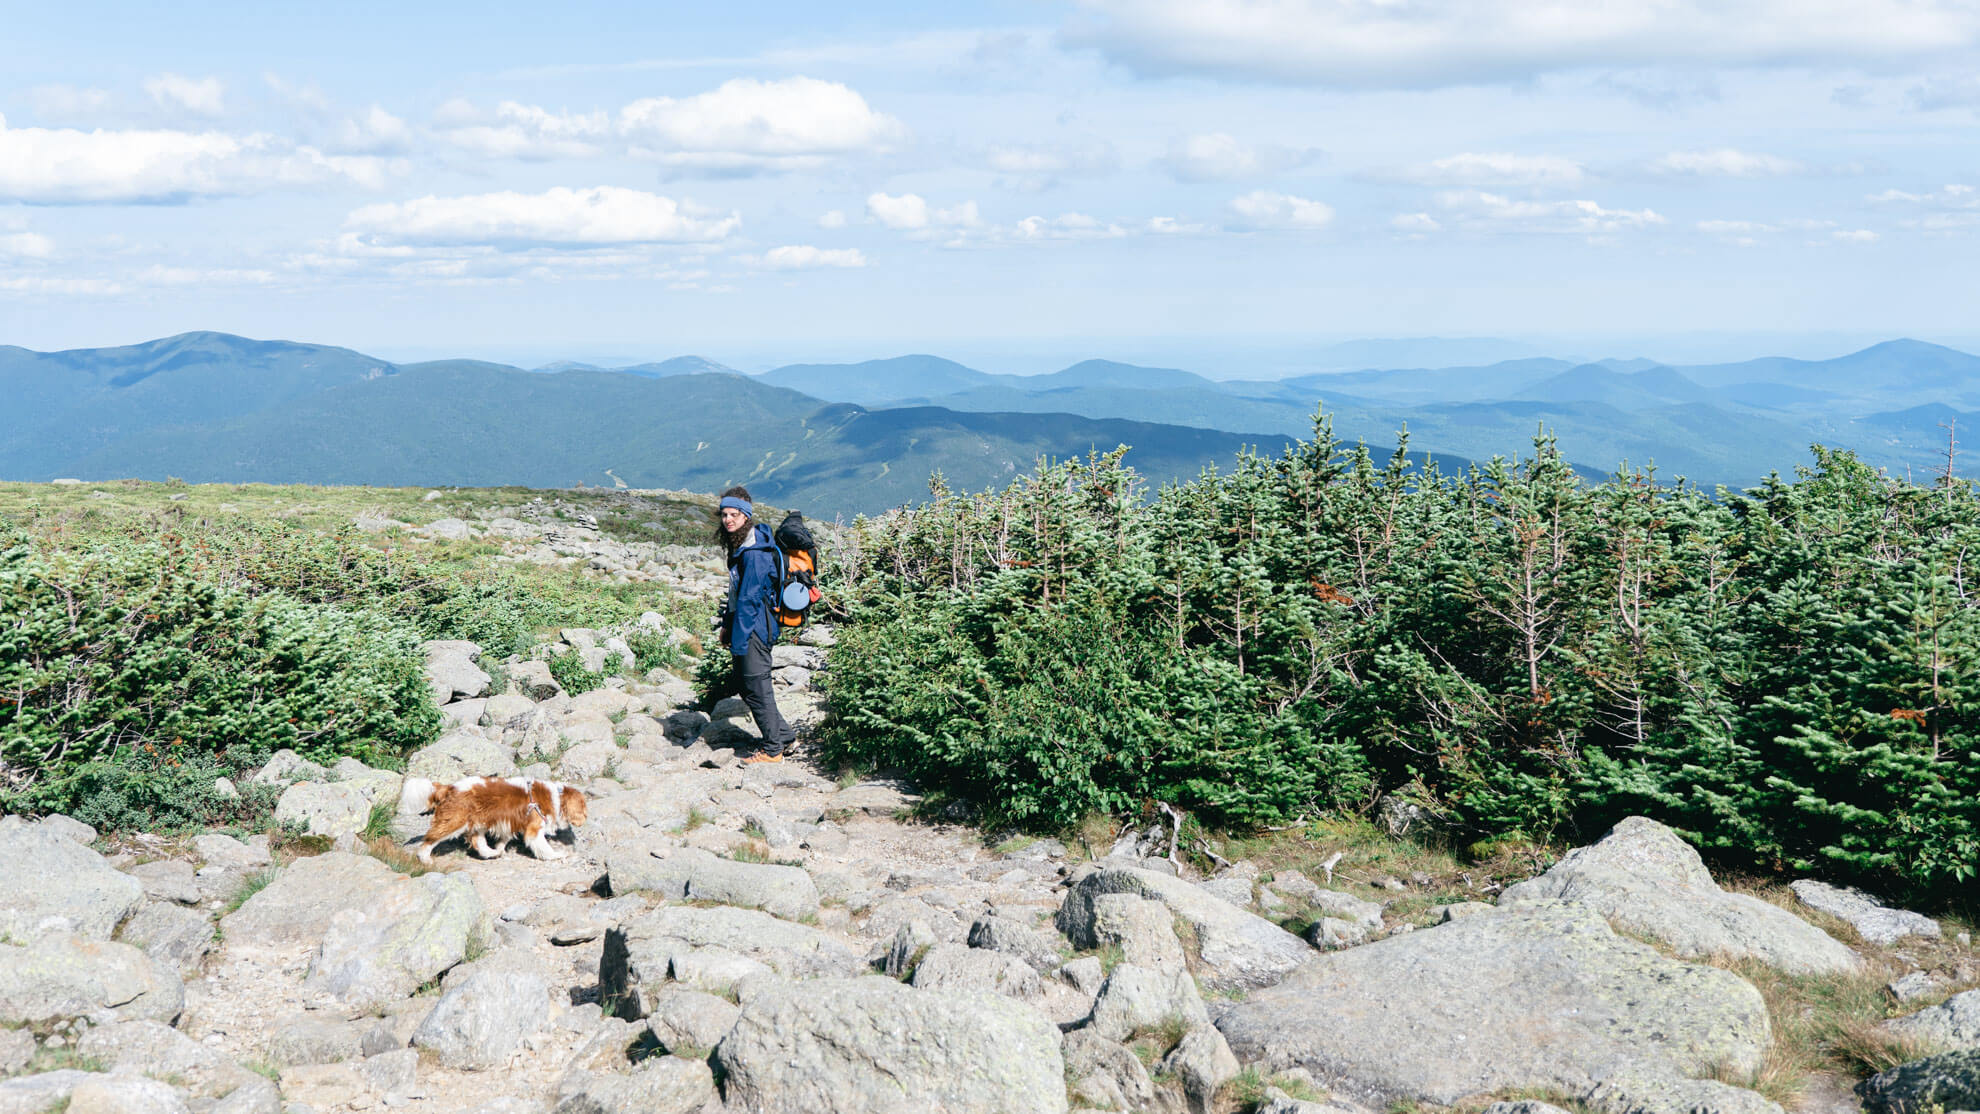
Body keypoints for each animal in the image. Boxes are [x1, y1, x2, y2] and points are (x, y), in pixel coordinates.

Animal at [401, 775, 586, 862]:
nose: (585, 818)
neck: (557, 796)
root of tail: (449, 787)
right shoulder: (534, 828)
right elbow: (543, 846)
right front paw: (556, 855)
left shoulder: (509, 822)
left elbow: (504, 839)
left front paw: (499, 848)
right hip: (455, 821)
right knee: (430, 839)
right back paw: (424, 858)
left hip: (477, 823)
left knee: (478, 842)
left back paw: (492, 853)